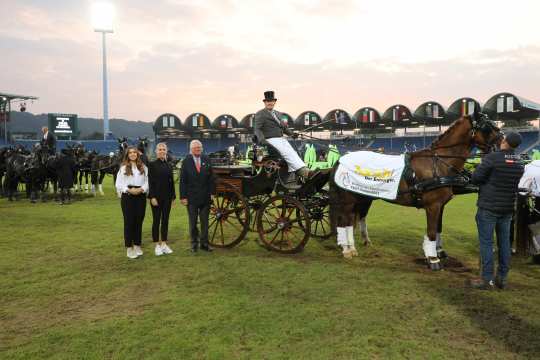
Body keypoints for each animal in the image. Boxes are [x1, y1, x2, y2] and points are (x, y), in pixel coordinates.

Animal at [330, 115, 502, 270]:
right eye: (487, 128)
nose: (503, 143)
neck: (438, 163)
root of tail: (340, 160)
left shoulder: (441, 205)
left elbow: (438, 229)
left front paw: (438, 252)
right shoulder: (433, 205)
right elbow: (431, 231)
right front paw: (433, 259)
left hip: (361, 197)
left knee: (352, 220)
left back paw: (353, 247)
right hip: (348, 199)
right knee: (344, 221)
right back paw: (347, 250)